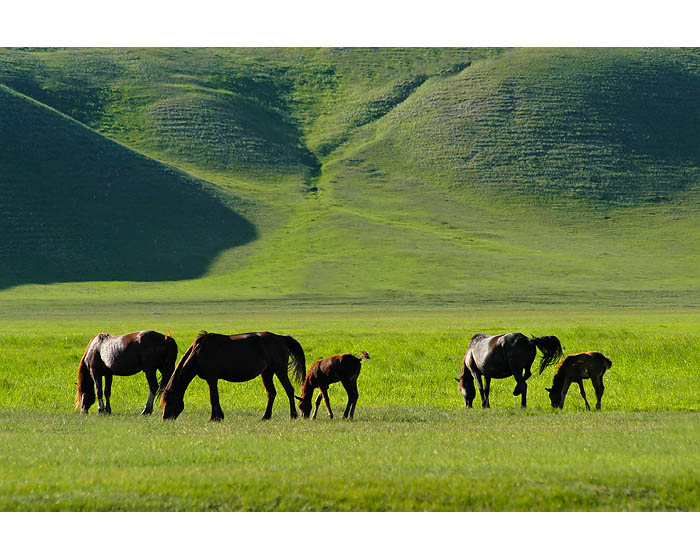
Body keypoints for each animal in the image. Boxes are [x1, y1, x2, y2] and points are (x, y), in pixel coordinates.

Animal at [165, 328, 308, 420]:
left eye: (169, 401)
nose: (165, 418)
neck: (199, 352)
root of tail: (282, 338)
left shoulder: (212, 378)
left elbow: (213, 397)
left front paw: (215, 417)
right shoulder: (212, 379)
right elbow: (214, 397)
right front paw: (218, 416)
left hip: (280, 370)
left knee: (289, 390)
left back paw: (293, 415)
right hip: (267, 373)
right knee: (271, 393)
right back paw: (265, 416)